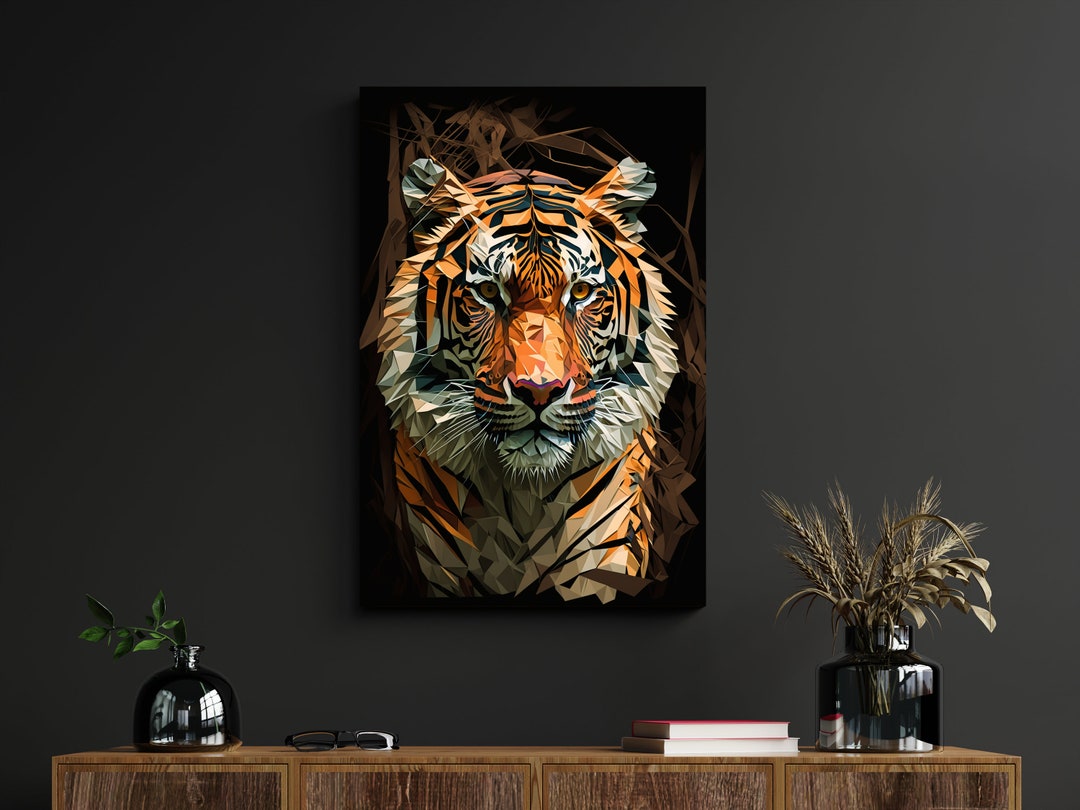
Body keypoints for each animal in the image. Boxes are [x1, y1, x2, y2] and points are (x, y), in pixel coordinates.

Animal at [376, 156, 681, 603]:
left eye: (581, 292)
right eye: (488, 292)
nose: (539, 391)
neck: (523, 495)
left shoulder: (603, 556)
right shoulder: (440, 566)